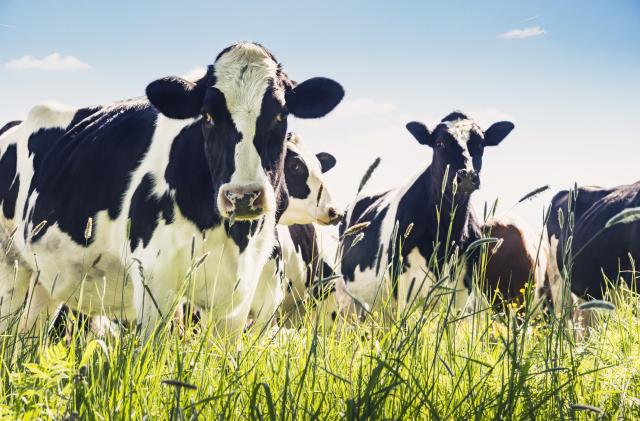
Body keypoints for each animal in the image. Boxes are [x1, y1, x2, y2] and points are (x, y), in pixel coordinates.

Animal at [0, 41, 344, 342]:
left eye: (280, 114)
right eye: (208, 115)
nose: (242, 197)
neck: (233, 237)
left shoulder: (243, 300)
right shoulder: (155, 281)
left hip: (45, 277)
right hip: (9, 267)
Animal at [338, 111, 512, 316]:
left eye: (480, 144)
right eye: (439, 144)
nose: (467, 176)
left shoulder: (463, 288)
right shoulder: (404, 286)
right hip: (346, 297)